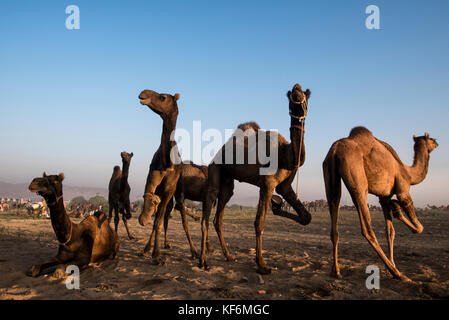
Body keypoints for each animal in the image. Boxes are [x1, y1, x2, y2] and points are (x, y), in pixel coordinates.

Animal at [199, 84, 312, 274]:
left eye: (305, 94)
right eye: (291, 96)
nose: (296, 87)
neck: (285, 154)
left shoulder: (284, 185)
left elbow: (306, 217)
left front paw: (277, 204)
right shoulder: (267, 184)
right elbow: (259, 223)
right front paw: (261, 265)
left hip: (228, 183)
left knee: (218, 218)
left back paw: (229, 256)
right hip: (215, 169)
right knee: (206, 215)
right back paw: (203, 261)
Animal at [322, 126, 438, 282]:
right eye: (430, 138)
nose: (437, 142)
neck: (408, 173)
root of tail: (334, 151)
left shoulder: (384, 196)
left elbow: (390, 231)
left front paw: (393, 263)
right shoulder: (403, 189)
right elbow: (419, 227)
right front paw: (397, 208)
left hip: (329, 174)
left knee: (334, 210)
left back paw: (335, 271)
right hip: (358, 180)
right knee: (367, 228)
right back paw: (398, 274)